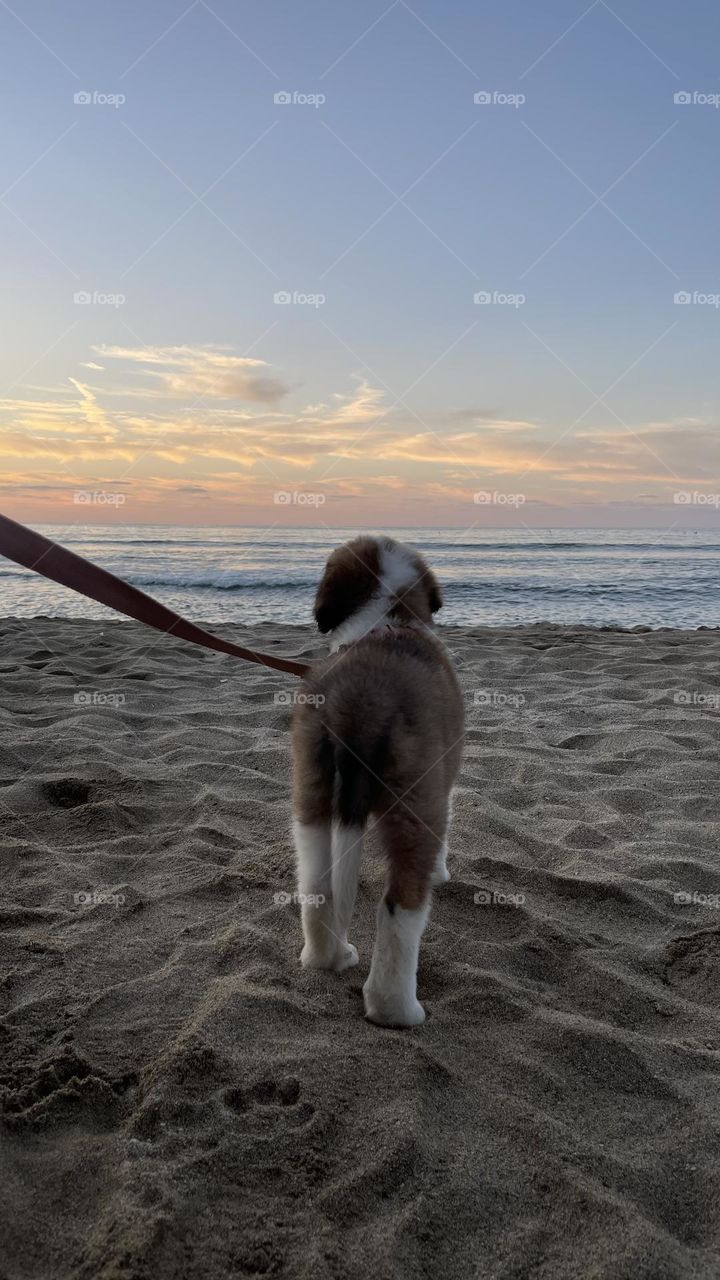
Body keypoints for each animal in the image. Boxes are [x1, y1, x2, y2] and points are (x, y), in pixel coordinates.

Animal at [288, 535, 461, 1024]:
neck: (386, 617)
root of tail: (361, 704)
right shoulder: (444, 780)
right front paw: (444, 871)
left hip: (311, 788)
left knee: (317, 884)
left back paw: (328, 958)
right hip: (414, 804)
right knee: (400, 909)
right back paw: (396, 1010)